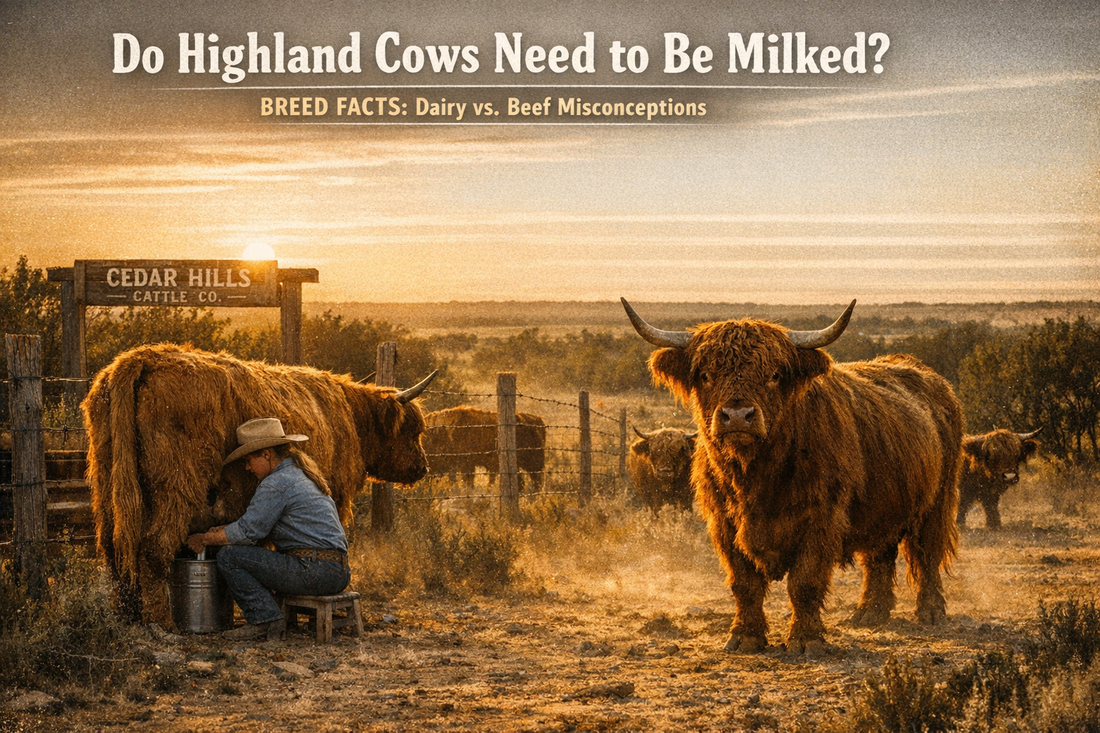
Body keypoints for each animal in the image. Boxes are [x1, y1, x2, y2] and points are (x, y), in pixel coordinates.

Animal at [81, 343, 435, 629]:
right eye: (413, 430)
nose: (422, 467)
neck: (350, 416)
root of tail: (142, 358)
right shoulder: (335, 493)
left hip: (108, 485)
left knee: (113, 548)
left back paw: (127, 615)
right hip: (176, 486)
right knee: (154, 547)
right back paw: (162, 622)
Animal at [622, 298, 963, 654]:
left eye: (774, 374)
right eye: (705, 374)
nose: (738, 416)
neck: (756, 478)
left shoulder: (822, 520)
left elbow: (805, 582)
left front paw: (806, 639)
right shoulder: (724, 522)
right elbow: (744, 583)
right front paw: (745, 636)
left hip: (938, 501)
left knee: (928, 554)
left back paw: (931, 611)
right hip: (881, 508)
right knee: (878, 558)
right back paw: (869, 614)